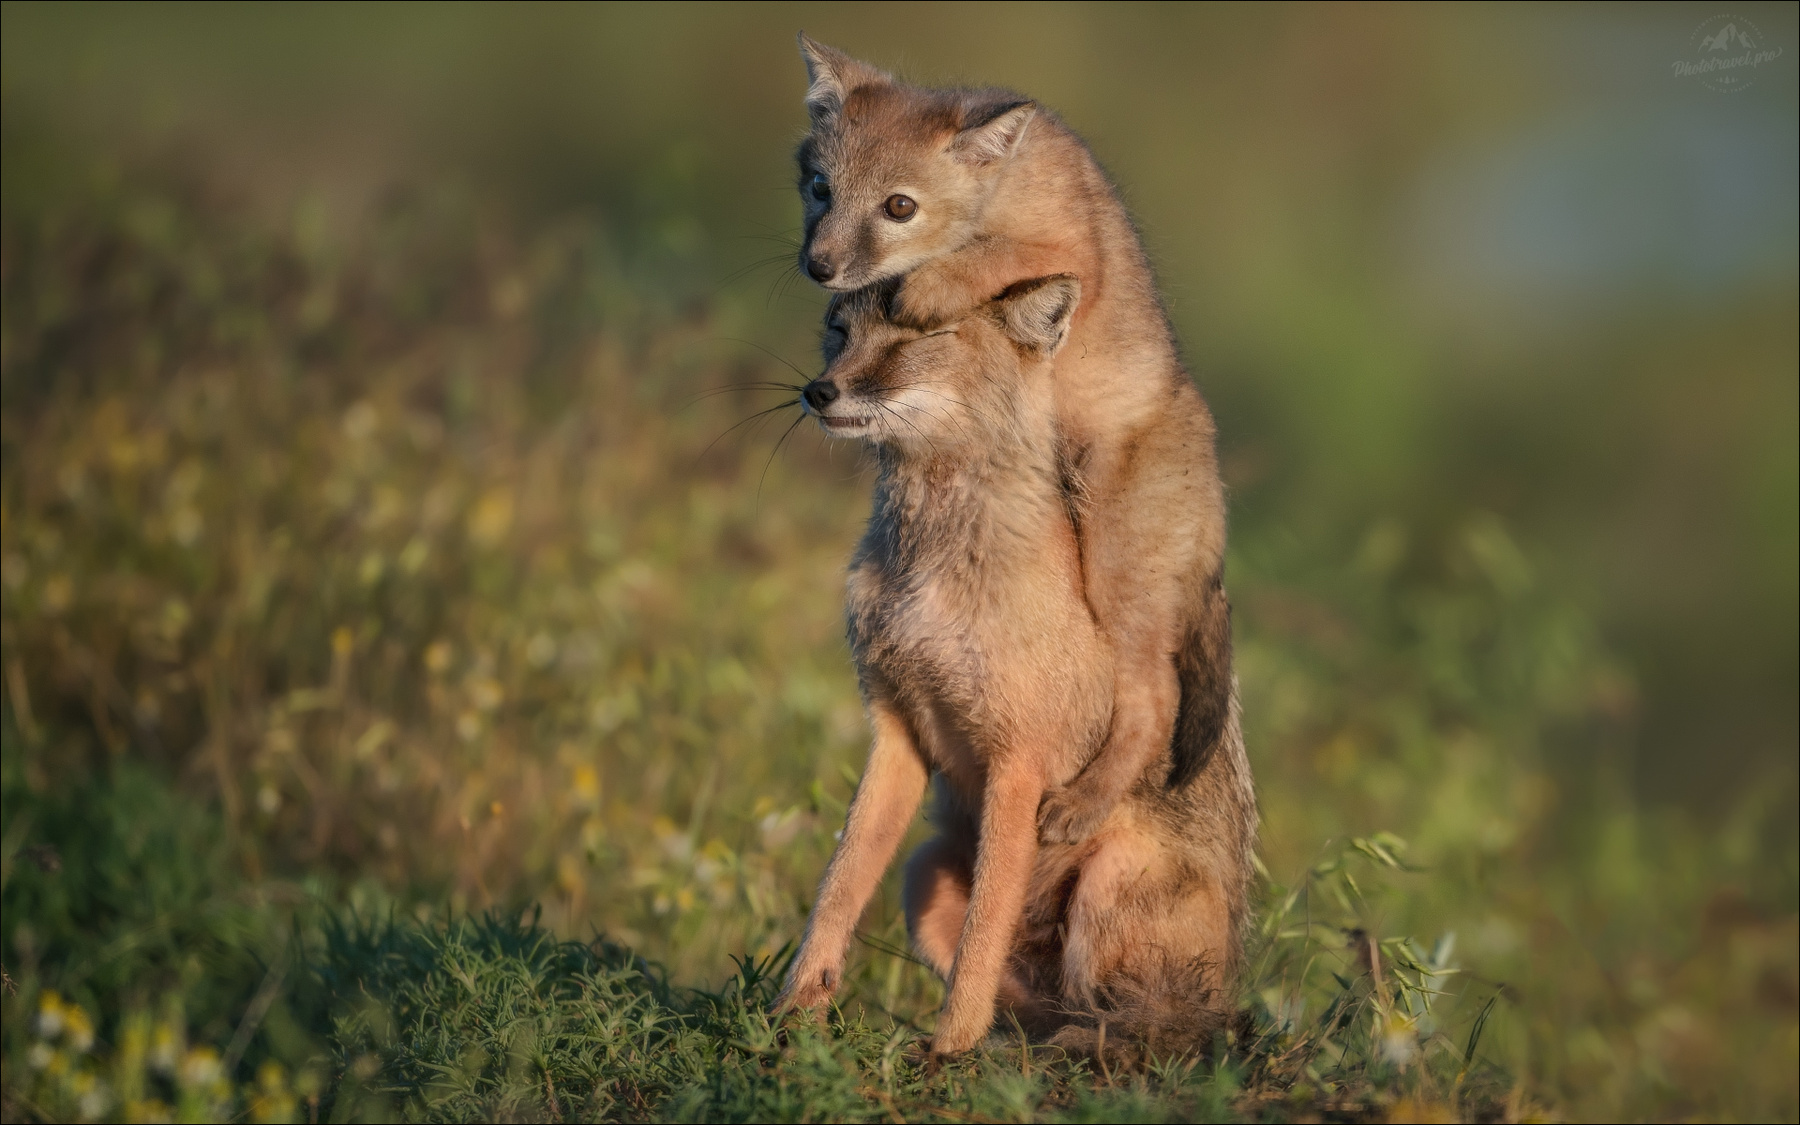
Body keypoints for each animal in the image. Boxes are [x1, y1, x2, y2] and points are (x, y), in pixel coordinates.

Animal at [784, 36, 1256, 1040]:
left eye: (908, 345)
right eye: (838, 335)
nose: (817, 392)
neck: (931, 575)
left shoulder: (1018, 765)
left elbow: (980, 942)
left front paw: (945, 1049)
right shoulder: (896, 733)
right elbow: (838, 889)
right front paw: (792, 1008)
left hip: (1109, 858)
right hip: (927, 872)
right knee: (1036, 1003)